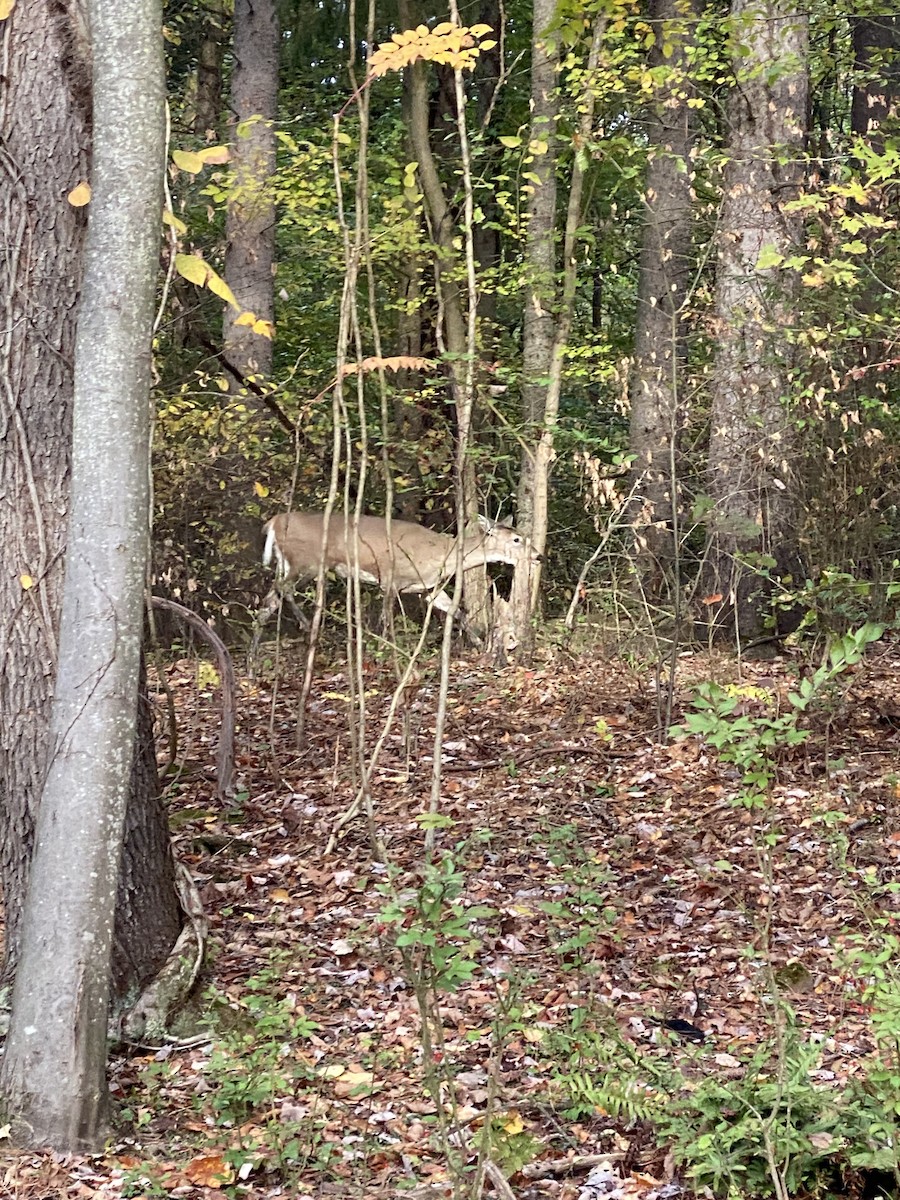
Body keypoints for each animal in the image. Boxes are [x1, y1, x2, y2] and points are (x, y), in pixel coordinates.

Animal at [249, 510, 541, 664]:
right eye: (517, 539)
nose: (539, 556)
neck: (441, 555)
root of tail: (273, 521)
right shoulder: (390, 579)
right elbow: (386, 620)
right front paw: (386, 653)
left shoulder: (427, 589)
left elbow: (457, 611)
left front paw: (480, 644)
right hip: (305, 561)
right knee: (282, 589)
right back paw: (307, 626)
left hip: (287, 562)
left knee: (267, 602)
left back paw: (253, 660)